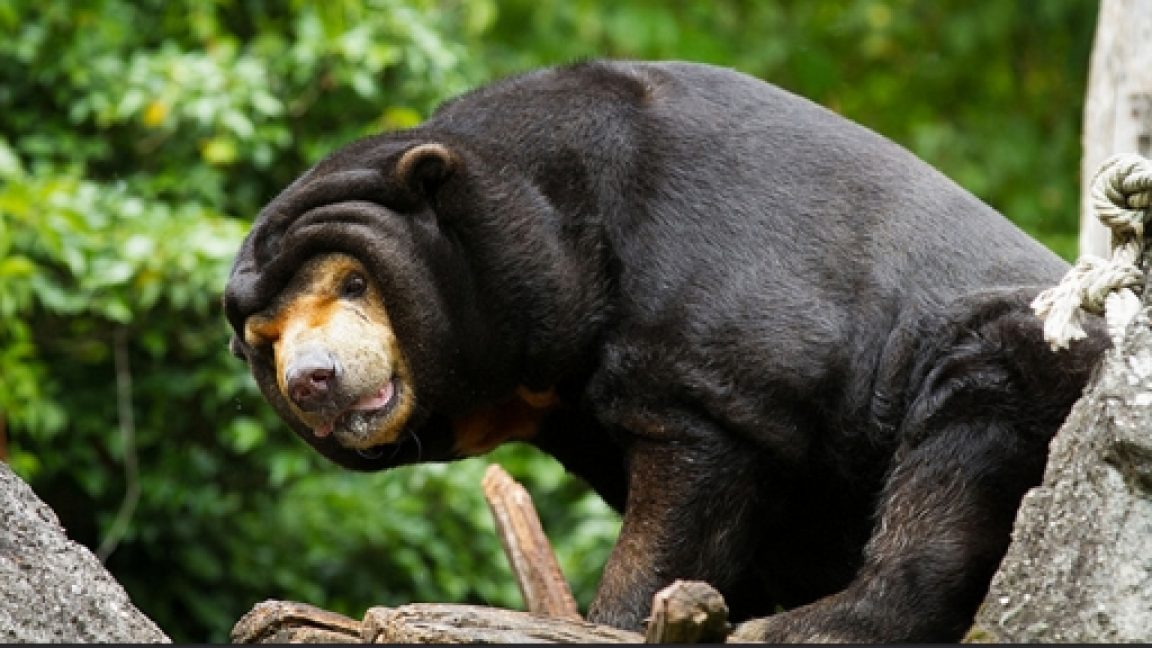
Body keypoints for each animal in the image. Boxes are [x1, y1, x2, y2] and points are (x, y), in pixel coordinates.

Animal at [223, 60, 1108, 642]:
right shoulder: (581, 408)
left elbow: (689, 488)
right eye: (267, 339)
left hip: (1031, 347)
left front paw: (622, 620)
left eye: (353, 283)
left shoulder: (713, 344)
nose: (313, 380)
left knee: (959, 461)